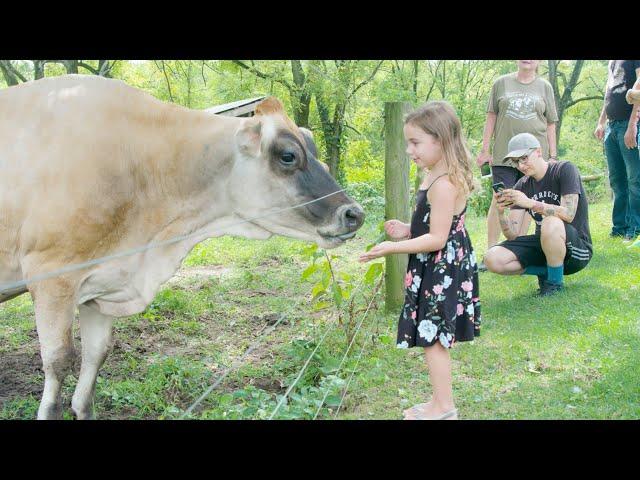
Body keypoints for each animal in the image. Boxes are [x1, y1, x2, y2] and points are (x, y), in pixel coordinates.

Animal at [0, 73, 362, 418]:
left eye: (314, 150)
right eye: (288, 155)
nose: (354, 214)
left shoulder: (102, 283)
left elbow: (95, 360)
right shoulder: (52, 275)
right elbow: (59, 360)